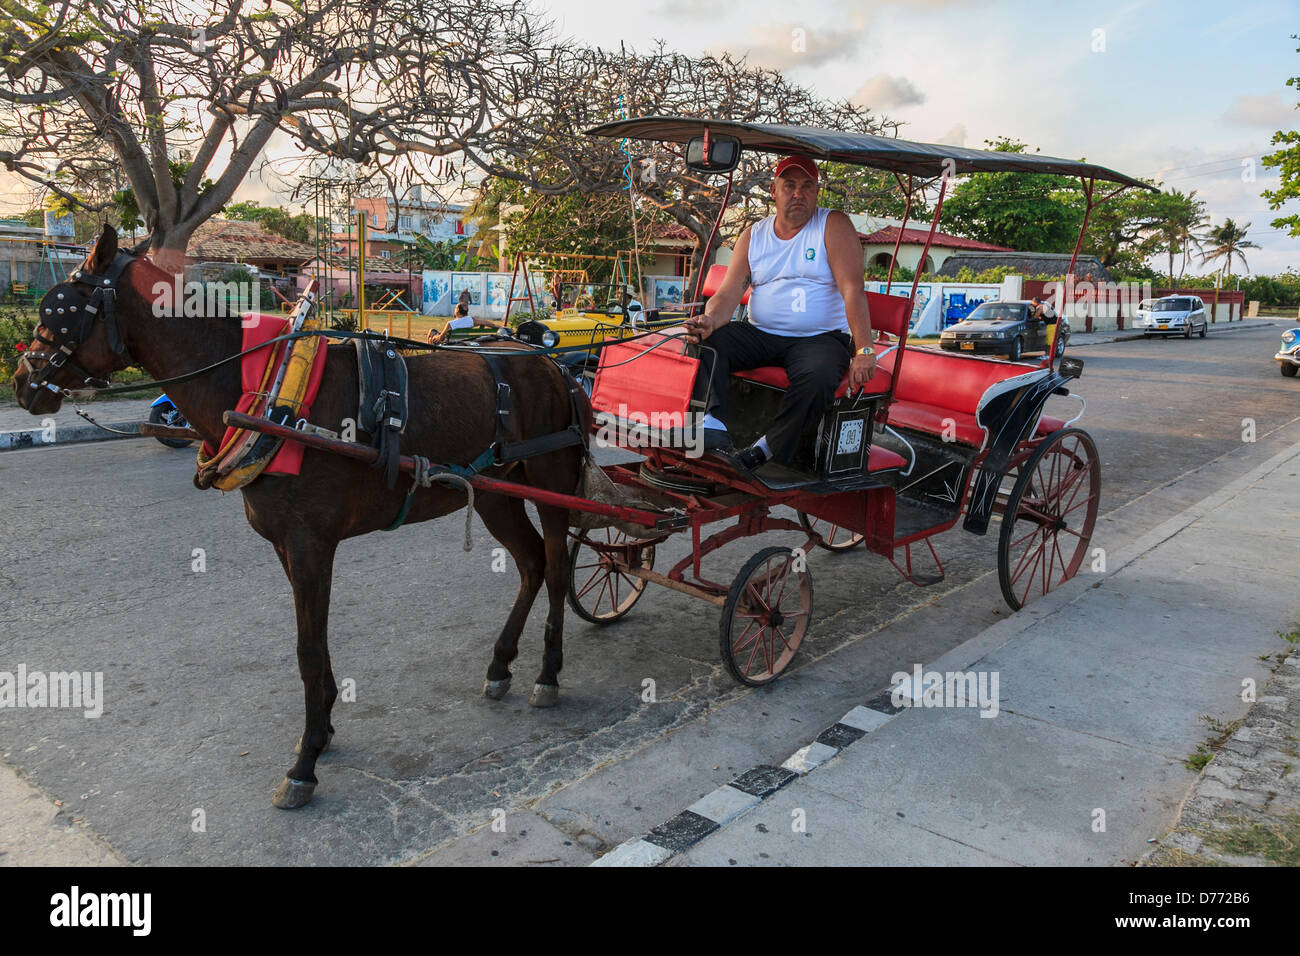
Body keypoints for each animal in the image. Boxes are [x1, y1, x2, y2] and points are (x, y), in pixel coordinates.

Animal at [8, 223, 590, 806]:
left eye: (59, 308)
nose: (20, 380)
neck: (267, 393)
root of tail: (554, 365)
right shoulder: (287, 545)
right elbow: (314, 644)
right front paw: (324, 728)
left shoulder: (311, 543)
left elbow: (307, 649)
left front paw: (305, 762)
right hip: (495, 493)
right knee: (532, 563)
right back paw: (501, 663)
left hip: (553, 485)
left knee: (557, 567)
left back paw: (549, 673)